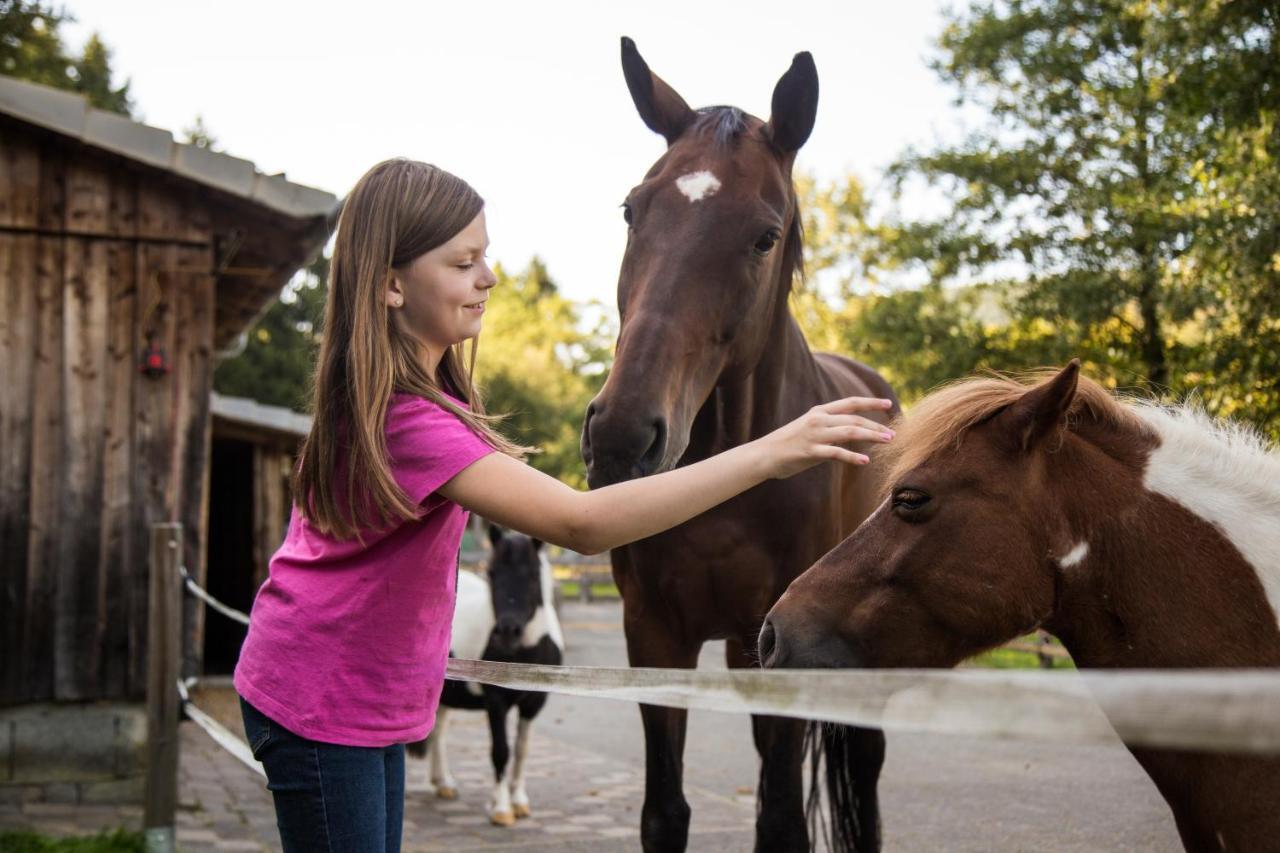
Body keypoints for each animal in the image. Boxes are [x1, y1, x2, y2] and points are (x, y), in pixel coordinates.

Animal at [409, 525, 565, 824]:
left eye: (533, 574)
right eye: (492, 573)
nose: (507, 631)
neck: (527, 650)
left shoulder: (534, 703)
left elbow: (522, 750)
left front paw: (518, 801)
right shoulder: (496, 701)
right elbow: (501, 751)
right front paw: (502, 808)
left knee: (439, 731)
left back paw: (443, 783)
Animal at [583, 36, 901, 845]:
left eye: (764, 235)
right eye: (632, 210)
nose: (622, 437)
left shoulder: (783, 651)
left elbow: (783, 818)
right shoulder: (654, 637)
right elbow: (665, 812)